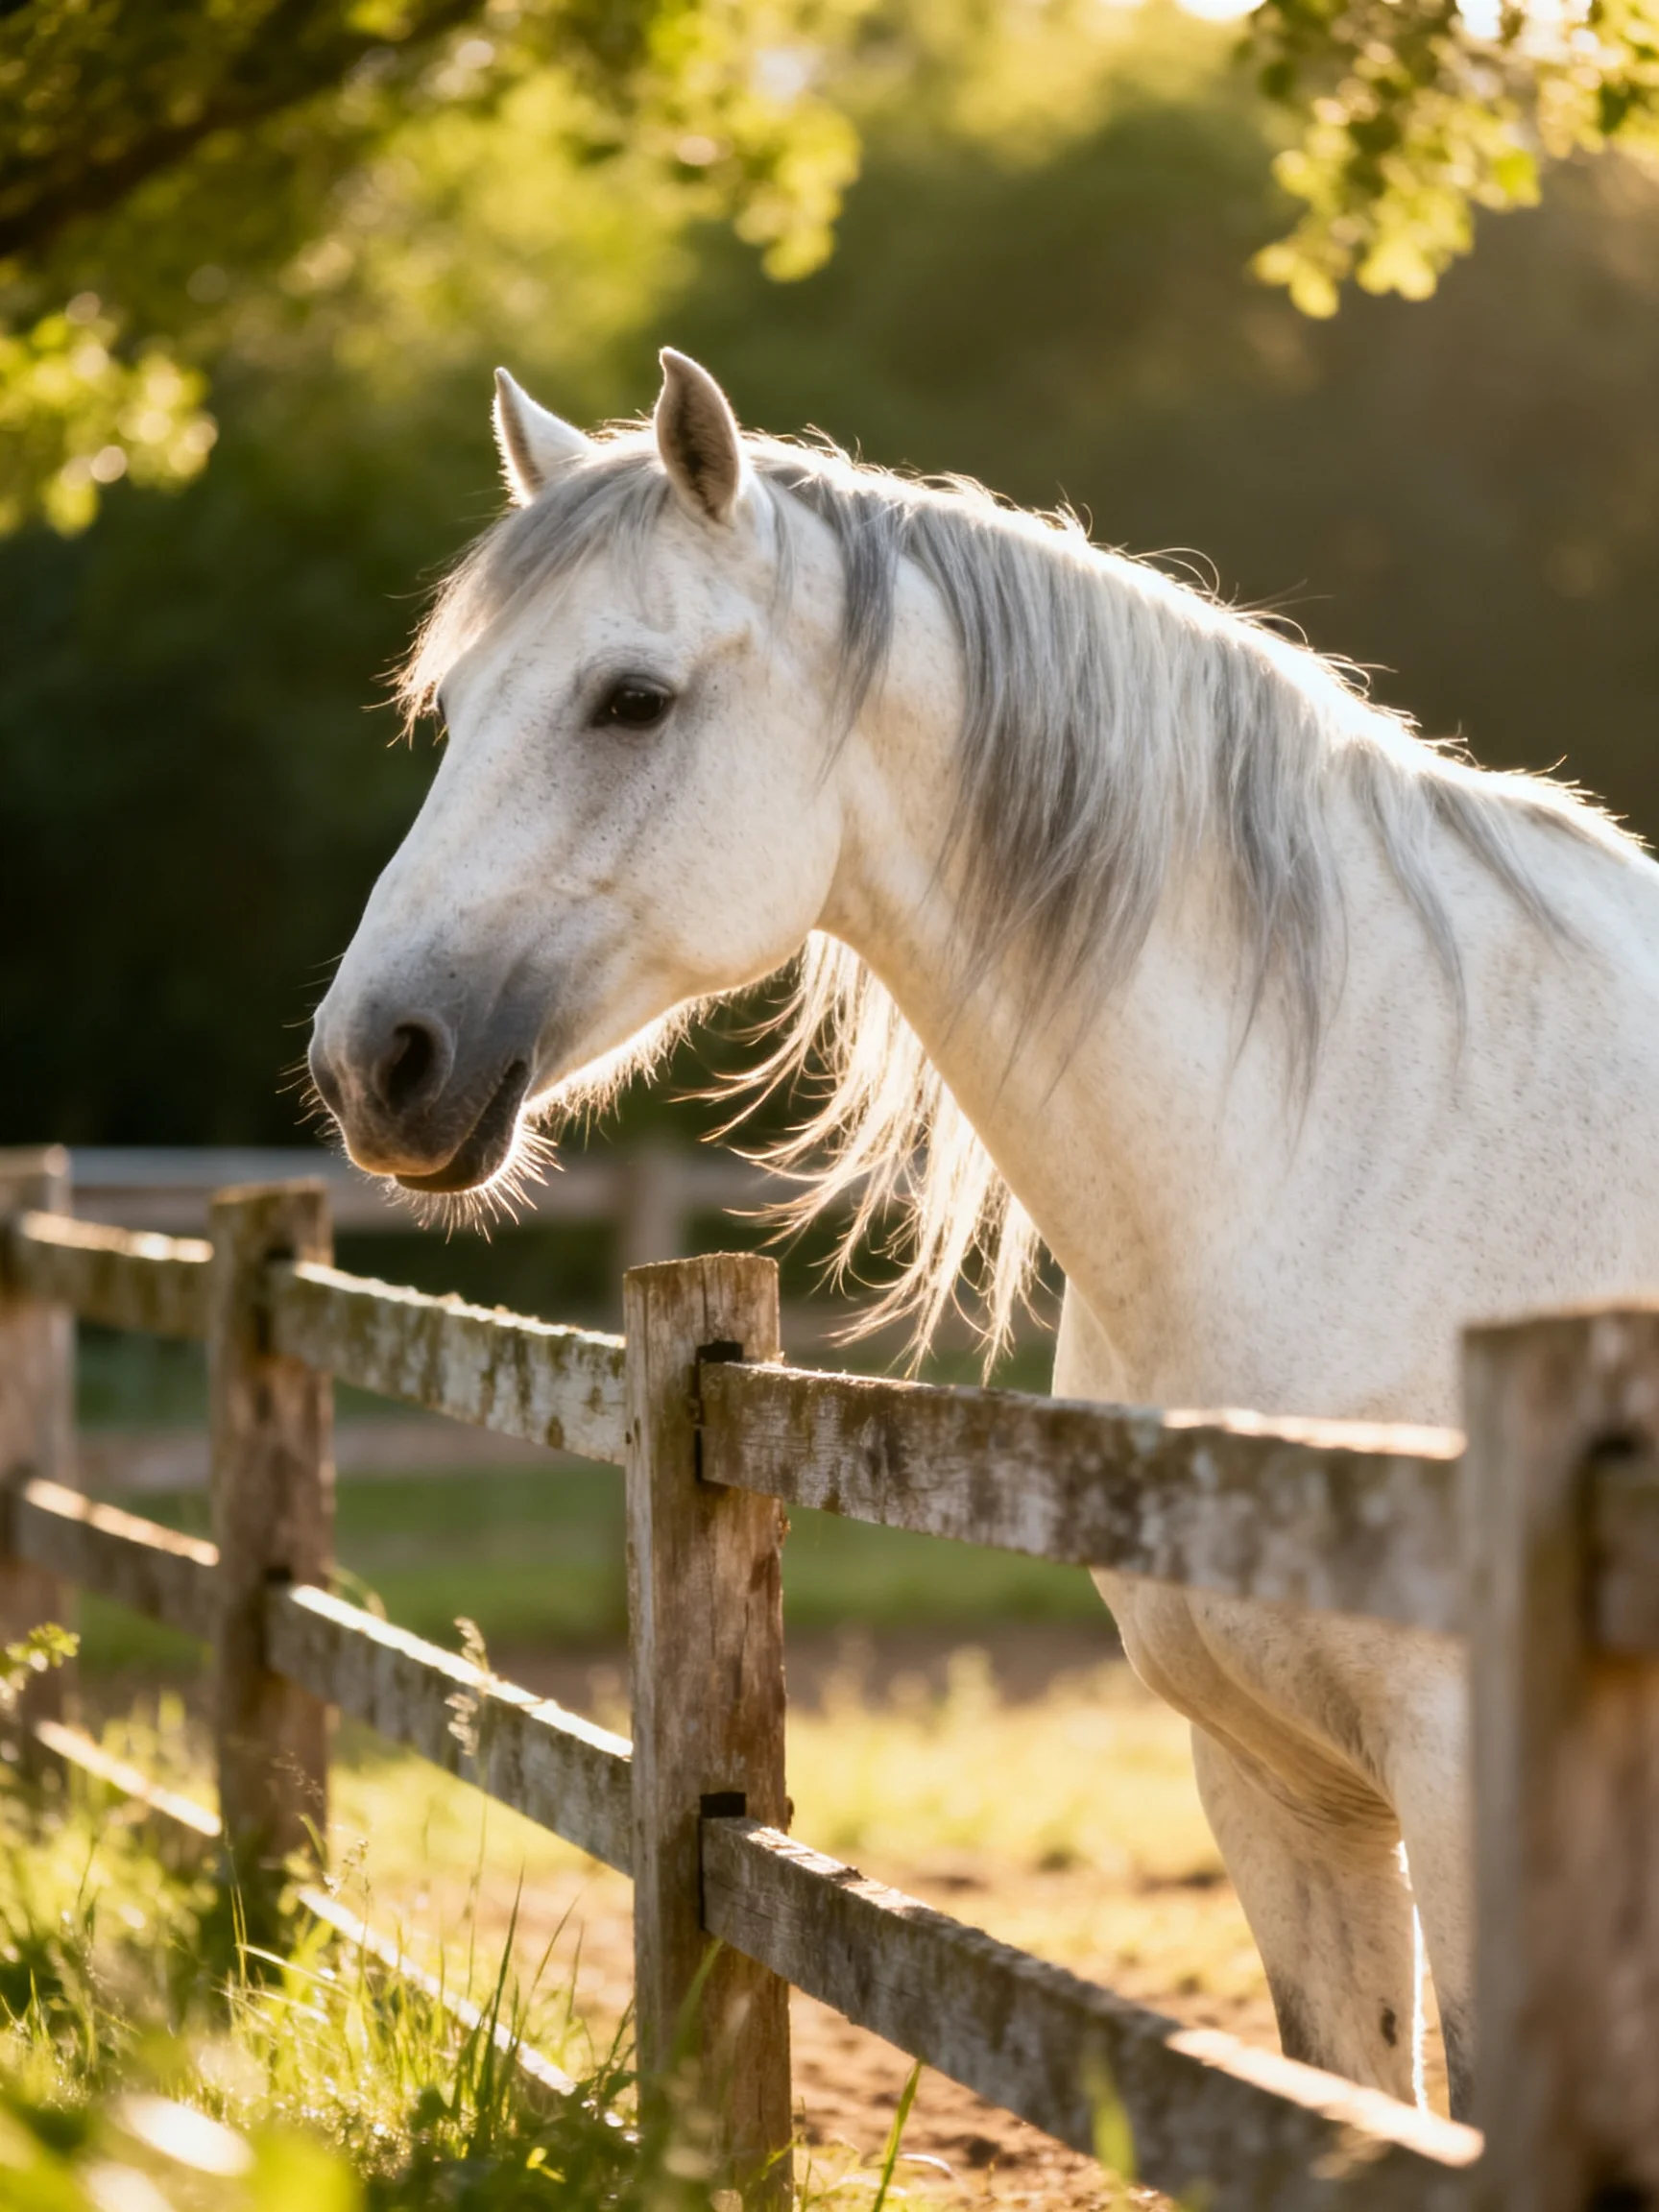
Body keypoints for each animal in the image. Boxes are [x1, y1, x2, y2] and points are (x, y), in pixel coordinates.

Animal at [308, 348, 1659, 2120]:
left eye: (632, 700)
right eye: (453, 711)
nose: (372, 1060)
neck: (1384, 1137)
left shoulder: (1467, 1798)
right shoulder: (1277, 1788)